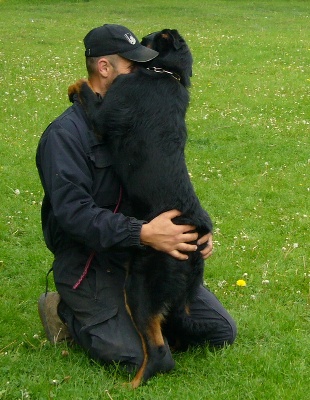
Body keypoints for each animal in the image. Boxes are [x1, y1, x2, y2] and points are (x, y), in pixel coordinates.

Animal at [68, 29, 213, 390]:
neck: (167, 74)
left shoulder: (105, 113)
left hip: (139, 285)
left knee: (159, 350)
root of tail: (195, 243)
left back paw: (132, 383)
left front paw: (74, 85)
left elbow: (87, 89)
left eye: (146, 38)